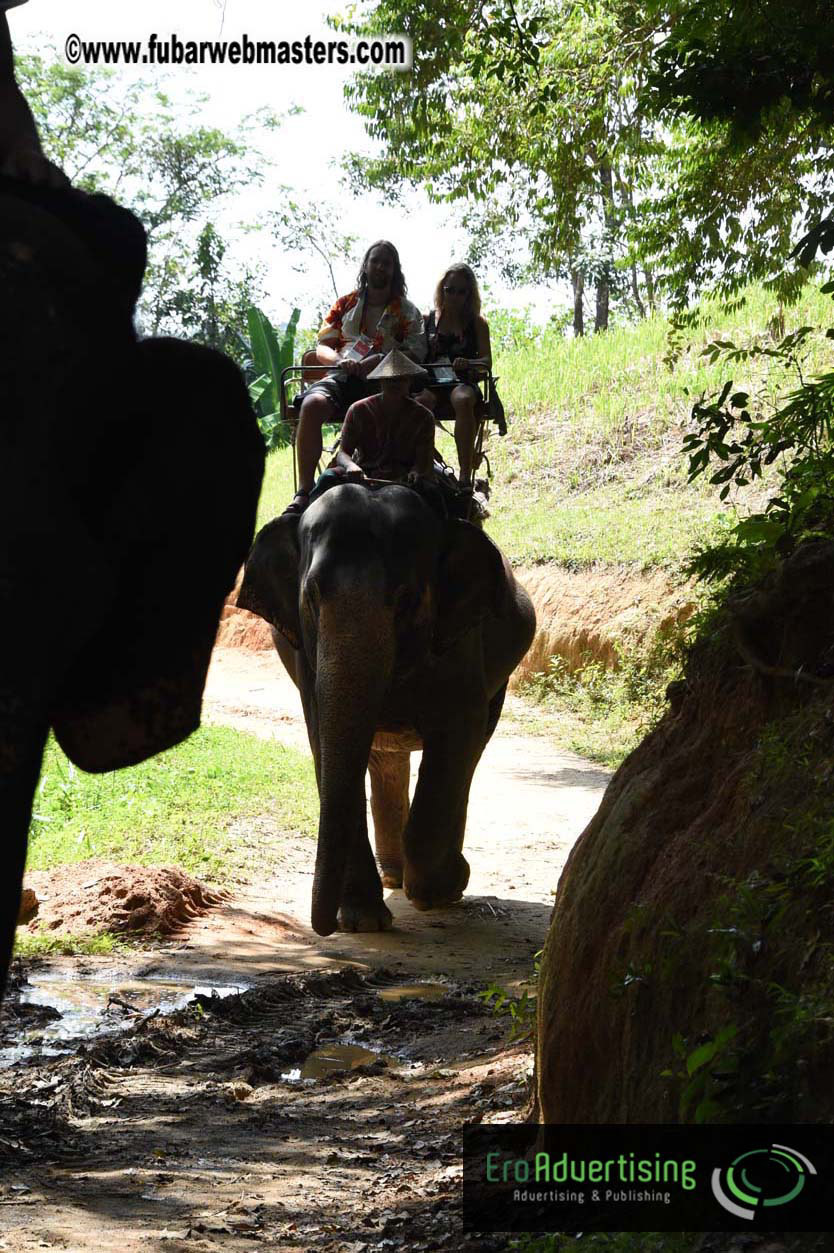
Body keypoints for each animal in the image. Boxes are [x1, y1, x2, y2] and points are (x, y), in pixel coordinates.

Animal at [237, 482, 536, 936]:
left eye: (407, 599)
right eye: (312, 596)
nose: (322, 928)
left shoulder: (460, 645)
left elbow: (457, 735)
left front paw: (436, 891)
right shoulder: (306, 659)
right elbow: (324, 742)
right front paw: (362, 921)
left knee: (468, 756)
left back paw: (438, 881)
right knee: (385, 757)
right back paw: (394, 875)